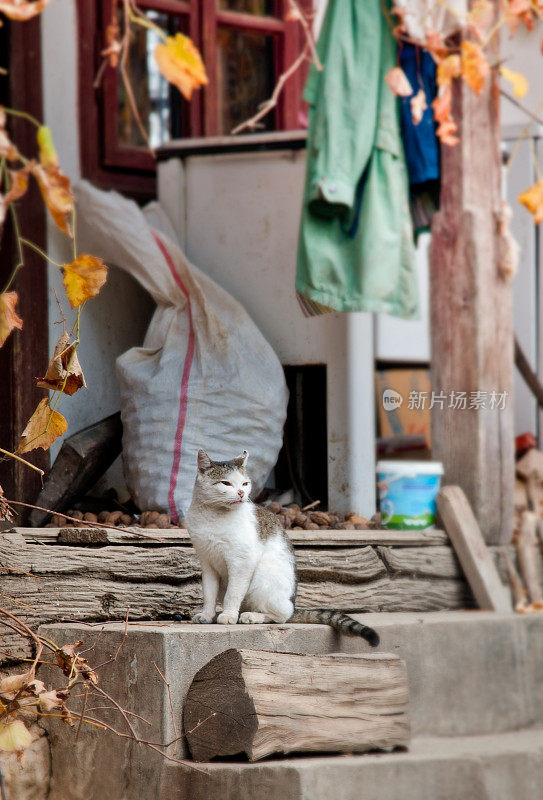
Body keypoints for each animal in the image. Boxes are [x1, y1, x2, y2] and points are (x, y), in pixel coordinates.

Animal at [185, 446, 380, 648]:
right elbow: (209, 593)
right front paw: (207, 615)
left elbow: (233, 594)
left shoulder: (241, 562)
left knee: (281, 616)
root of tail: (293, 604)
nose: (241, 493)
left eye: (245, 484)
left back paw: (250, 616)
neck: (212, 516)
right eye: (226, 483)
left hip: (262, 578)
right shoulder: (207, 563)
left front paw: (228, 615)